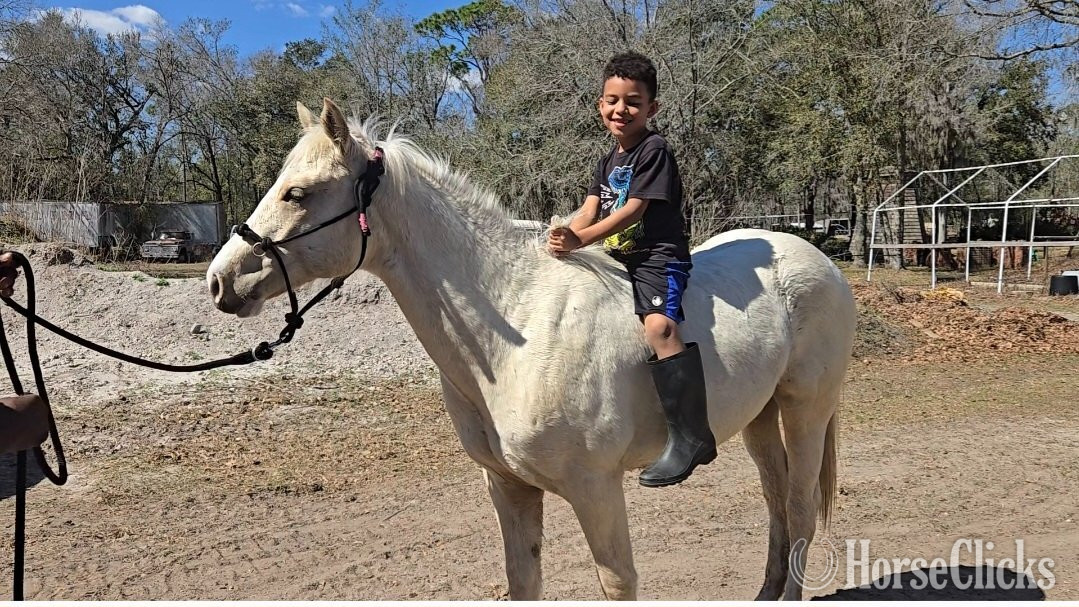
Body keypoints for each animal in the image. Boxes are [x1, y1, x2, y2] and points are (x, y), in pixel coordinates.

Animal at [206, 98, 857, 600]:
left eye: (298, 193)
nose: (220, 280)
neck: (515, 327)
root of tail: (816, 258)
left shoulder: (597, 489)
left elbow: (617, 582)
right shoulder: (508, 487)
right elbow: (524, 581)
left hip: (806, 411)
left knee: (799, 505)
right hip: (758, 417)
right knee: (776, 501)